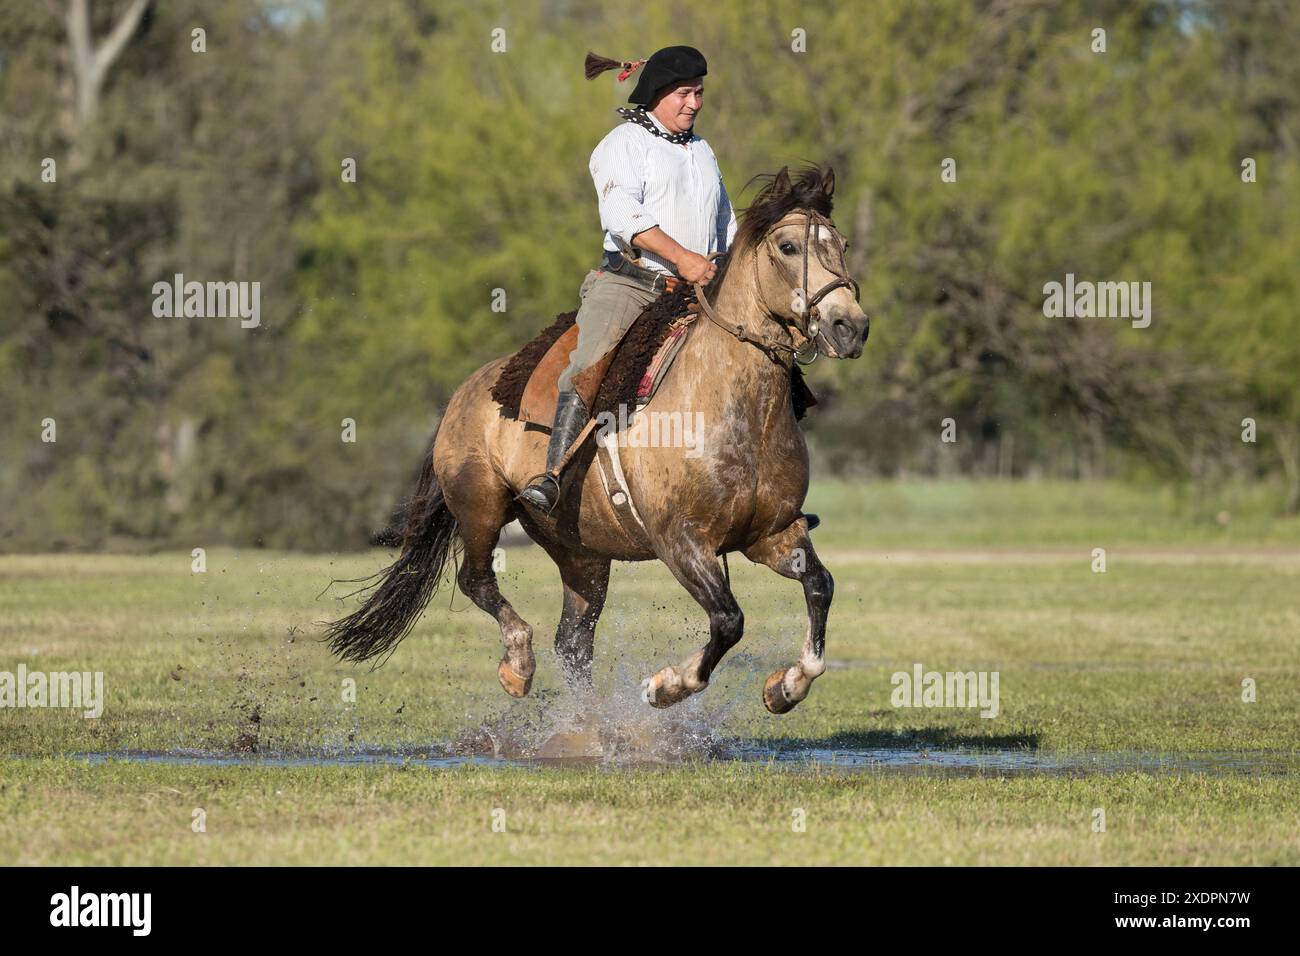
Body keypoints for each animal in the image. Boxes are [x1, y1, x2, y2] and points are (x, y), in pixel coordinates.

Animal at [325, 164, 870, 715]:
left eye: (842, 244)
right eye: (787, 246)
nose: (851, 327)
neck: (737, 414)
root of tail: (463, 395)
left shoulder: (774, 534)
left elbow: (820, 587)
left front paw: (786, 686)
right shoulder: (681, 542)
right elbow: (728, 620)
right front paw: (665, 686)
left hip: (580, 552)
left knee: (572, 641)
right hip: (481, 508)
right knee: (477, 581)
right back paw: (518, 666)